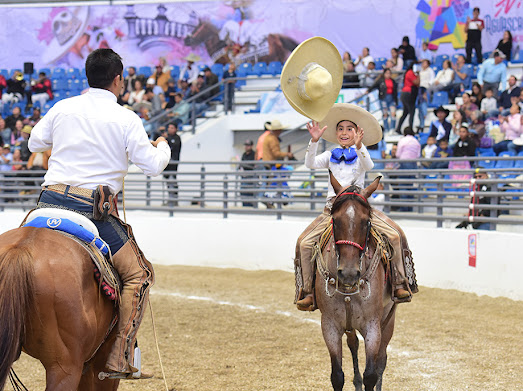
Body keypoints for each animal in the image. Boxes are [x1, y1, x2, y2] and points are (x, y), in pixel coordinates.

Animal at [316, 175, 398, 391]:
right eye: (335, 220)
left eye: (366, 222)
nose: (349, 273)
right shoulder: (330, 326)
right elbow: (337, 376)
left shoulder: (372, 326)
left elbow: (371, 373)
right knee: (353, 344)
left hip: (388, 318)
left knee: (381, 360)